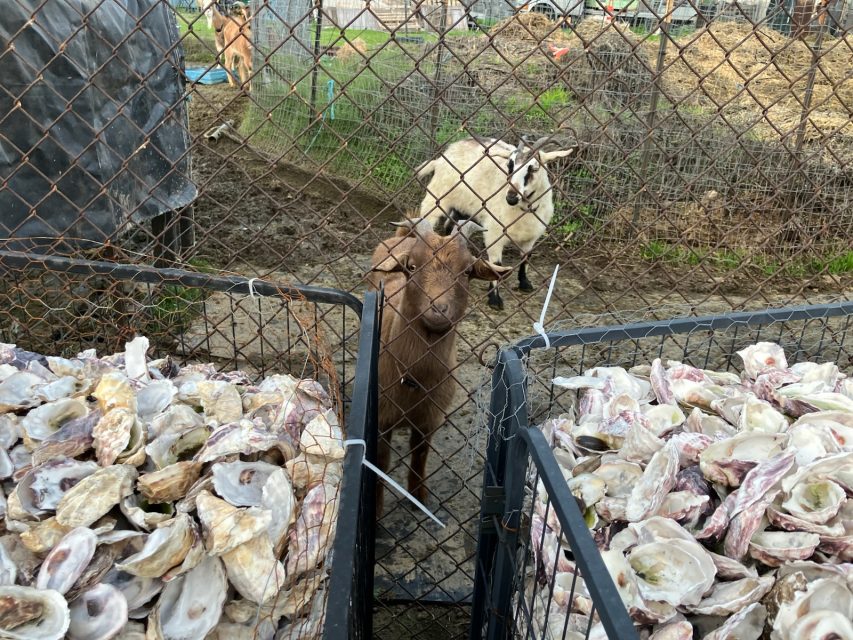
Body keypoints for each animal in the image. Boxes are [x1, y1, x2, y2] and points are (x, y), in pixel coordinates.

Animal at [366, 217, 510, 515]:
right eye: (411, 266)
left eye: (467, 271)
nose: (438, 308)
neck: (413, 380)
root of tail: (402, 235)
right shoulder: (381, 417)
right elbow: (381, 464)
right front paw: (376, 509)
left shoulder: (430, 418)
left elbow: (420, 455)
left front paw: (418, 497)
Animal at [416, 136, 577, 310]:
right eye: (510, 165)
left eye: (533, 168)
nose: (511, 197)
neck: (524, 211)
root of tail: (441, 159)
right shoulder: (495, 234)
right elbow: (496, 264)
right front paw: (494, 299)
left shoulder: (531, 237)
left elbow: (526, 257)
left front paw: (525, 284)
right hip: (436, 198)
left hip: (462, 208)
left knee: (450, 227)